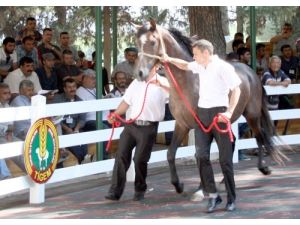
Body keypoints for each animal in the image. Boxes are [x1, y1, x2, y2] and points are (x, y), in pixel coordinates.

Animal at [134, 20, 288, 194]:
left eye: (152, 42)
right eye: (137, 43)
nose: (140, 73)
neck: (189, 80)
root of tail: (251, 73)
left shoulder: (200, 125)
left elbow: (200, 154)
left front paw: (202, 187)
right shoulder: (181, 124)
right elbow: (171, 153)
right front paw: (178, 185)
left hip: (252, 115)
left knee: (260, 136)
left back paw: (263, 168)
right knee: (232, 144)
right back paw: (224, 180)